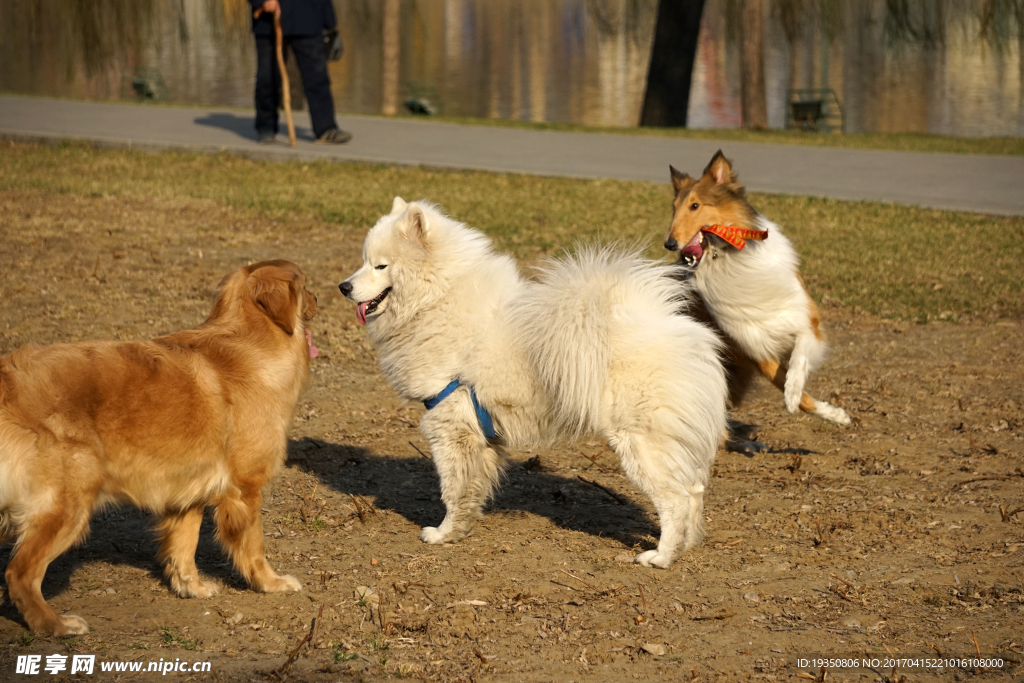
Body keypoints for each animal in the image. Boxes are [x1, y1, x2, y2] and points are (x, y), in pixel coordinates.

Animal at [0, 259, 315, 634]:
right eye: (306, 286)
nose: (318, 300)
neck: (248, 343)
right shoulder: (245, 490)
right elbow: (253, 546)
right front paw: (270, 583)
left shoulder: (188, 493)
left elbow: (184, 547)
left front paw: (191, 588)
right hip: (69, 501)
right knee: (20, 574)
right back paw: (55, 624)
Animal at [344, 200, 729, 569]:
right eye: (363, 261)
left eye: (380, 266)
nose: (343, 286)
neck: (437, 298)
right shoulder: (481, 434)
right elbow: (472, 490)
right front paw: (461, 530)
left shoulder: (450, 425)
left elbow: (453, 489)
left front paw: (442, 534)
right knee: (695, 491)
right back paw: (685, 547)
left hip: (641, 445)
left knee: (676, 500)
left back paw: (661, 557)